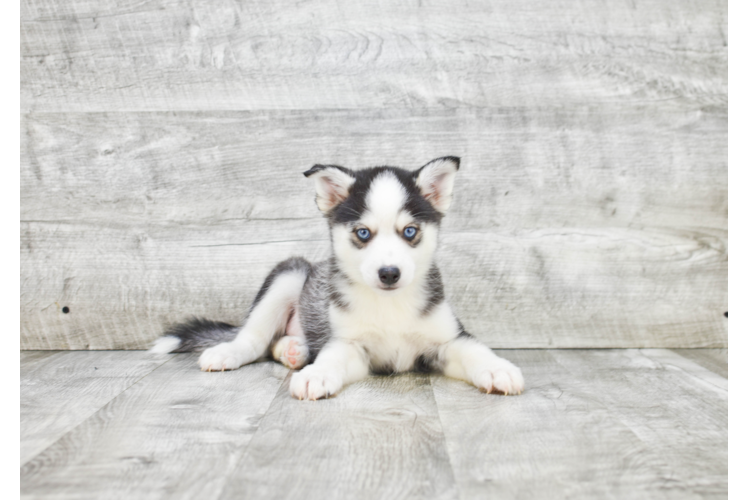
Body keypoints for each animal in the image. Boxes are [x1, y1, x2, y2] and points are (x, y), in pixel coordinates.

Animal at [150, 158, 524, 400]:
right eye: (363, 233)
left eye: (409, 231)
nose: (389, 273)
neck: (389, 305)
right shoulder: (351, 345)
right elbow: (332, 357)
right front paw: (317, 374)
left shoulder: (447, 339)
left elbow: (474, 350)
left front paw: (498, 369)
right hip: (290, 273)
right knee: (254, 339)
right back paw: (232, 352)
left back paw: (295, 349)